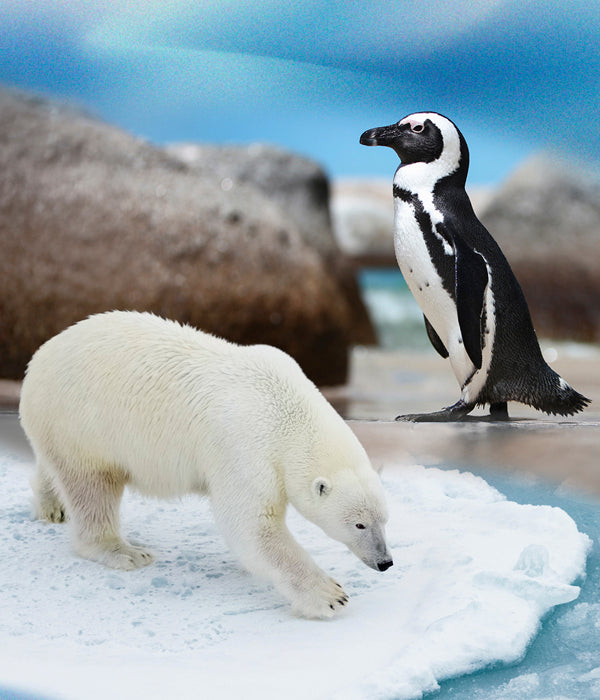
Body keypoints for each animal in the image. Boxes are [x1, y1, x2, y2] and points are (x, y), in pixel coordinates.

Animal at [19, 311, 392, 619]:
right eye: (359, 524)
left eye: (385, 520)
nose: (385, 562)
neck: (286, 410)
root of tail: (37, 358)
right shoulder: (245, 447)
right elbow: (251, 525)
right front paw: (329, 595)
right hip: (81, 421)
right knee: (92, 487)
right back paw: (125, 551)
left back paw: (52, 507)